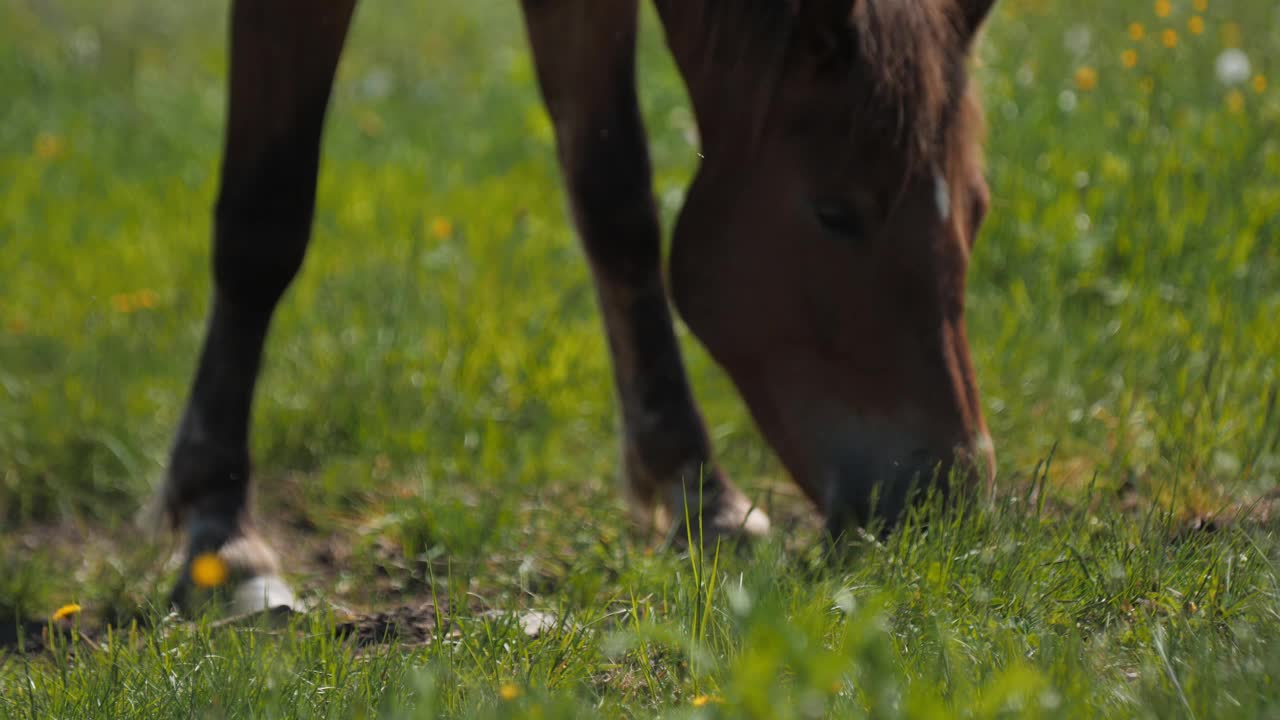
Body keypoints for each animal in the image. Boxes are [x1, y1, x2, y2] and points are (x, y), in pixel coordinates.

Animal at [157, 0, 998, 609]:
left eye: (978, 206)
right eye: (834, 212)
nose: (948, 494)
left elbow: (615, 198)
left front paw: (700, 492)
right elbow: (264, 220)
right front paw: (221, 533)